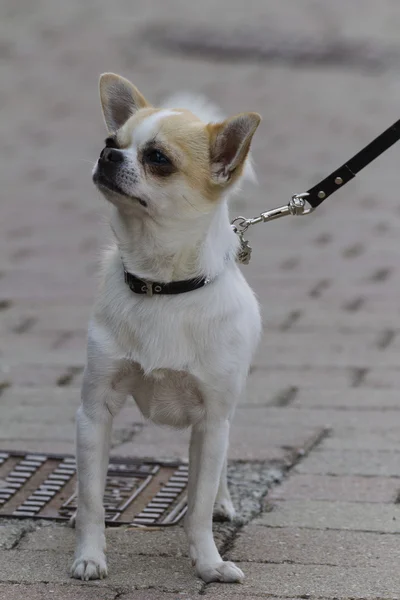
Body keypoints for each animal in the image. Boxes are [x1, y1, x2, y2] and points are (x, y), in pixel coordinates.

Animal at [70, 72, 260, 584]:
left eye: (158, 158)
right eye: (111, 142)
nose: (107, 156)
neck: (162, 285)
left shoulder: (212, 421)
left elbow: (197, 504)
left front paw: (209, 564)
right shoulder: (95, 411)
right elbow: (94, 496)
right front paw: (89, 556)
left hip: (223, 416)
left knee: (216, 471)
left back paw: (223, 502)